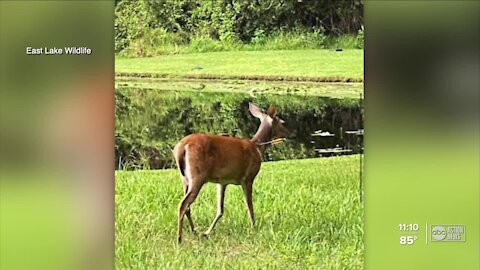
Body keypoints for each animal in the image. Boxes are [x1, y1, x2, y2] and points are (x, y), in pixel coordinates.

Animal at [174, 102, 290, 244]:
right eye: (283, 122)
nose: (290, 133)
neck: (257, 147)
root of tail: (181, 147)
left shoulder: (222, 182)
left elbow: (220, 210)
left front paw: (207, 232)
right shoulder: (248, 178)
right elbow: (249, 205)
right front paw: (253, 227)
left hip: (184, 178)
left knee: (188, 206)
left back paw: (194, 231)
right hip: (198, 175)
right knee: (183, 204)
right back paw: (179, 239)